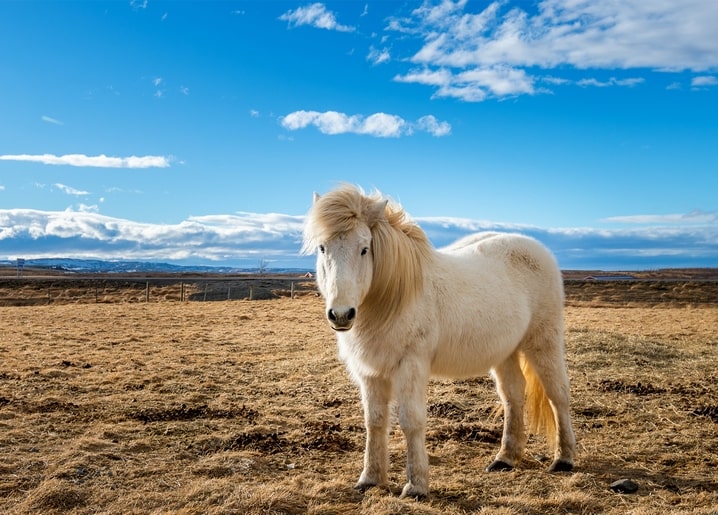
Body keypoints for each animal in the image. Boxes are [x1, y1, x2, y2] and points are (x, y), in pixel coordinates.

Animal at [302, 185, 576, 498]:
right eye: (323, 248)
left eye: (364, 248)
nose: (341, 314)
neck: (394, 297)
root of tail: (538, 249)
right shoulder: (370, 372)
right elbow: (375, 421)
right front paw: (370, 479)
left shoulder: (410, 365)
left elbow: (411, 421)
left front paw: (417, 486)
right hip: (505, 351)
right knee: (513, 396)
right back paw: (505, 459)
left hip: (543, 341)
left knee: (557, 394)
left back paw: (564, 459)